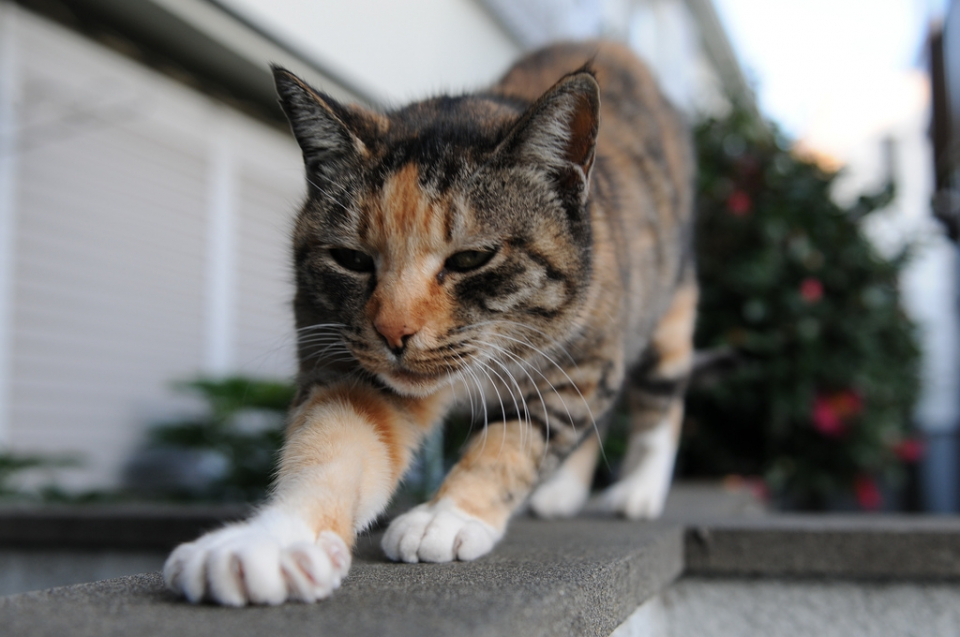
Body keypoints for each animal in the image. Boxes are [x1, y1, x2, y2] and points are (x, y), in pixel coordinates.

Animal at [161, 41, 692, 608]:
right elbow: (333, 443)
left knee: (661, 398)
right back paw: (563, 493)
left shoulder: (583, 364)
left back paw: (637, 492)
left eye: (472, 258)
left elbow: (513, 441)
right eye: (351, 258)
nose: (393, 333)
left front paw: (446, 517)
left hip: (666, 314)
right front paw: (265, 543)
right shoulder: (349, 362)